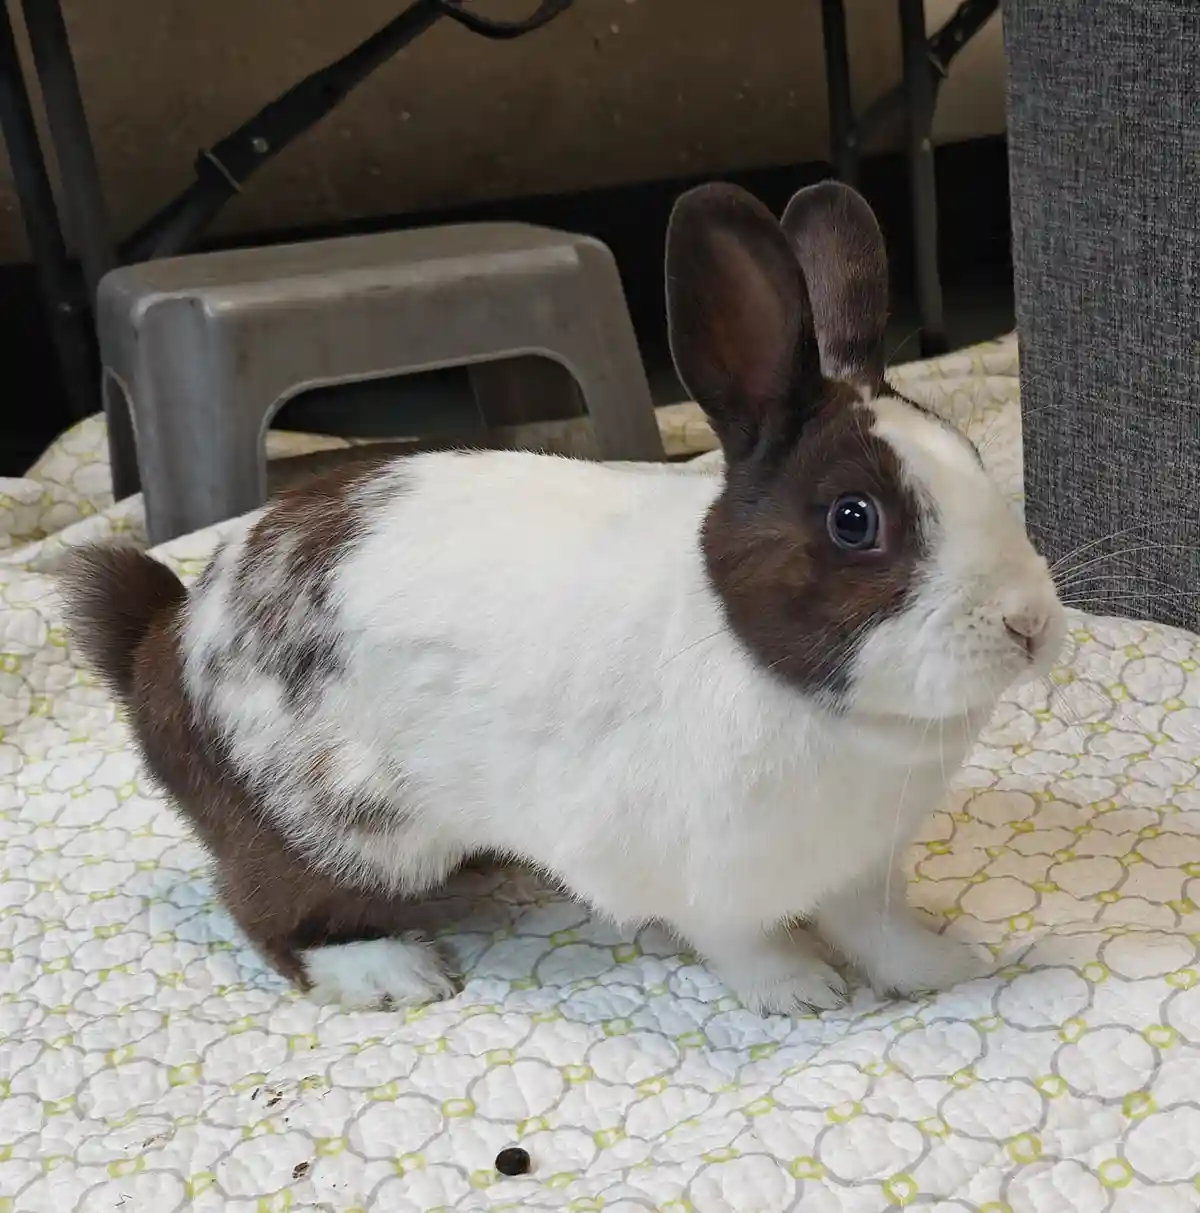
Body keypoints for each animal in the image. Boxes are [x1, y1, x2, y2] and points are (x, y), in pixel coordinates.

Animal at [59, 180, 1065, 1015]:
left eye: (976, 462)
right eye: (855, 520)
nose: (1030, 624)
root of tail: (162, 640)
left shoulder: (865, 865)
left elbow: (879, 928)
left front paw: (944, 967)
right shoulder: (698, 872)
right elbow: (742, 943)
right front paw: (802, 992)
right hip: (334, 830)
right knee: (272, 910)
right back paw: (389, 972)